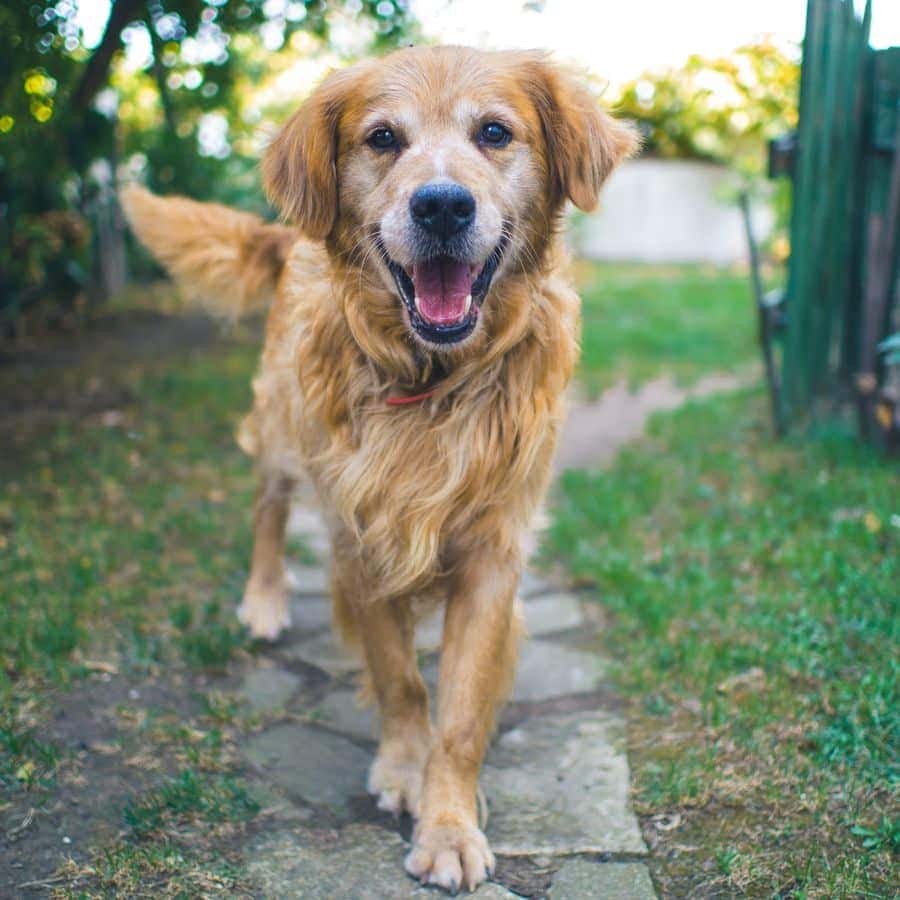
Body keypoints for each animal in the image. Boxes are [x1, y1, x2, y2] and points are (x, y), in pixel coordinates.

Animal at [125, 47, 632, 892]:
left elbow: (458, 710)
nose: (442, 207)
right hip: (281, 431)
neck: (433, 380)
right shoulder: (359, 538)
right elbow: (400, 677)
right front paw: (404, 767)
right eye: (383, 138)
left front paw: (449, 821)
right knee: (266, 508)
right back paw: (264, 599)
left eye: (495, 132)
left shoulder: (493, 554)